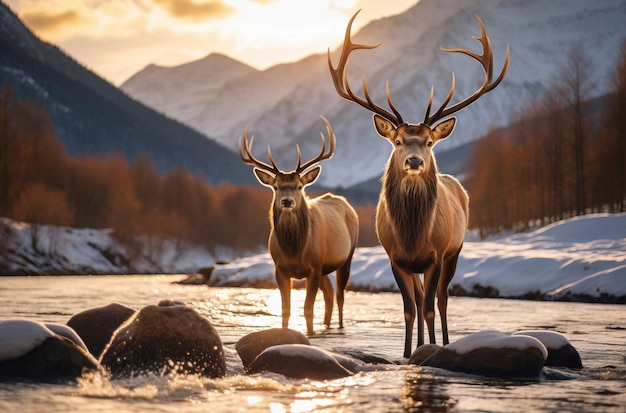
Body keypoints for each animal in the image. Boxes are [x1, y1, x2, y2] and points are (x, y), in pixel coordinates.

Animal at [238, 116, 358, 332]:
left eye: (300, 186)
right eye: (276, 187)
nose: (287, 201)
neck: (294, 251)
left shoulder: (314, 266)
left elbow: (307, 308)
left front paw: (309, 333)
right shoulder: (280, 268)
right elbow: (285, 310)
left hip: (346, 257)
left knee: (339, 295)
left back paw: (339, 327)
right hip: (325, 267)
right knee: (329, 294)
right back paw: (326, 325)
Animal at [326, 11, 508, 356]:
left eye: (429, 142)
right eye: (397, 141)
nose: (414, 161)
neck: (413, 235)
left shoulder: (436, 254)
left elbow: (428, 307)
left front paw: (433, 350)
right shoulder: (396, 257)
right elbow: (410, 308)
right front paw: (408, 353)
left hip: (455, 250)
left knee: (441, 299)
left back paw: (445, 342)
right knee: (423, 295)